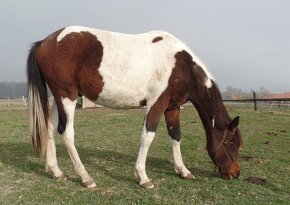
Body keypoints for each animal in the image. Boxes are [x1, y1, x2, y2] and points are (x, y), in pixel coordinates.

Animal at [26, 25, 242, 189]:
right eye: (232, 143)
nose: (235, 173)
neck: (180, 65)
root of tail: (45, 42)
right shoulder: (156, 103)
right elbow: (147, 137)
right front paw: (143, 177)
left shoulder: (172, 108)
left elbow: (175, 136)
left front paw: (183, 171)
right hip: (67, 96)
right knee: (67, 133)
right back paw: (85, 177)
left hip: (59, 98)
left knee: (50, 129)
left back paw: (56, 172)